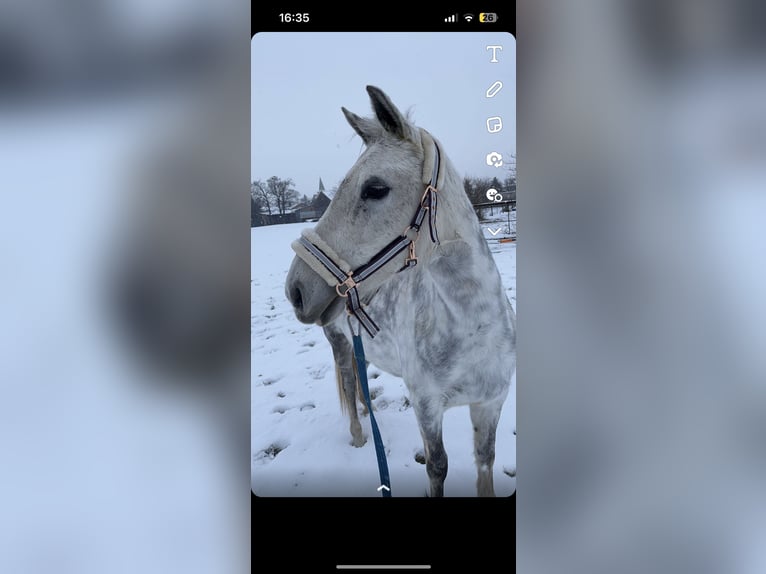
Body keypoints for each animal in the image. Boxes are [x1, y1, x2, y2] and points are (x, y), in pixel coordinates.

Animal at [284, 86, 516, 500]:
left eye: (375, 188)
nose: (296, 289)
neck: (474, 328)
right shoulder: (427, 406)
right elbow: (437, 466)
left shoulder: (490, 403)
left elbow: (485, 462)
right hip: (339, 344)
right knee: (348, 382)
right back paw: (359, 438)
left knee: (360, 379)